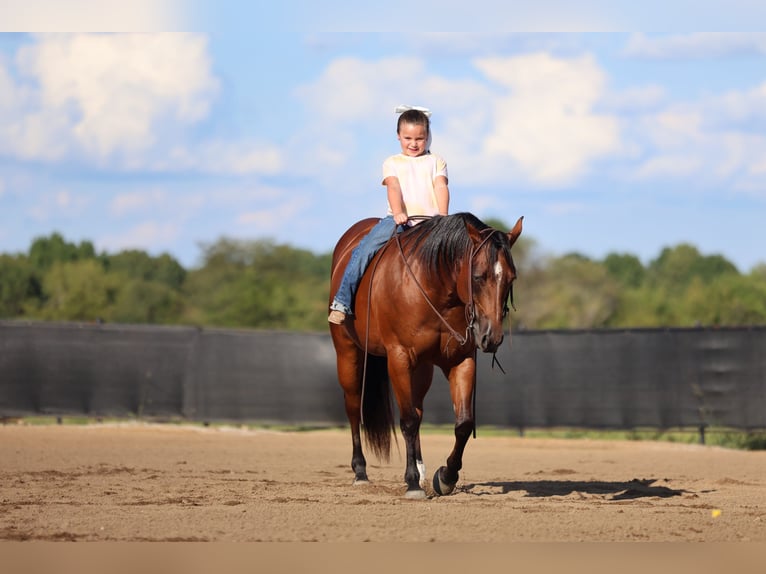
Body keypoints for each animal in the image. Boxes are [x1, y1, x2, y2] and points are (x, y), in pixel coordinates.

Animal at [328, 212, 523, 498]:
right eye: (478, 276)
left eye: (511, 278)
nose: (492, 337)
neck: (434, 289)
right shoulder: (399, 358)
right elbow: (408, 420)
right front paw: (411, 484)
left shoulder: (461, 361)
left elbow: (463, 423)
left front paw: (445, 477)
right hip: (348, 353)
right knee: (354, 408)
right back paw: (361, 472)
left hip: (422, 369)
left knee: (418, 410)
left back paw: (420, 471)